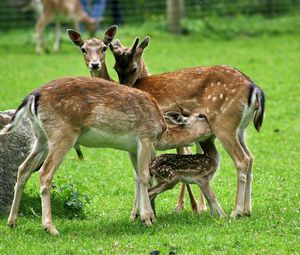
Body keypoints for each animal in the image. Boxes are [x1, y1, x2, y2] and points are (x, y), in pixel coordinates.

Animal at [0, 75, 212, 235]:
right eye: (202, 116)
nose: (215, 130)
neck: (161, 133)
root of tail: (33, 97)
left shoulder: (133, 148)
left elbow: (139, 177)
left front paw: (140, 216)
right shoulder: (145, 138)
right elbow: (144, 177)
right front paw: (147, 218)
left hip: (41, 138)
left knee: (23, 168)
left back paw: (12, 222)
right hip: (62, 134)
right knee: (45, 173)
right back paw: (50, 228)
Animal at [109, 36, 266, 219]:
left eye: (134, 68)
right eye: (115, 67)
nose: (125, 88)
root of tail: (254, 88)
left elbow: (138, 173)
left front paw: (137, 214)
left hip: (224, 125)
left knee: (242, 160)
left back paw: (236, 211)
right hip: (241, 129)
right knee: (251, 157)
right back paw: (247, 210)